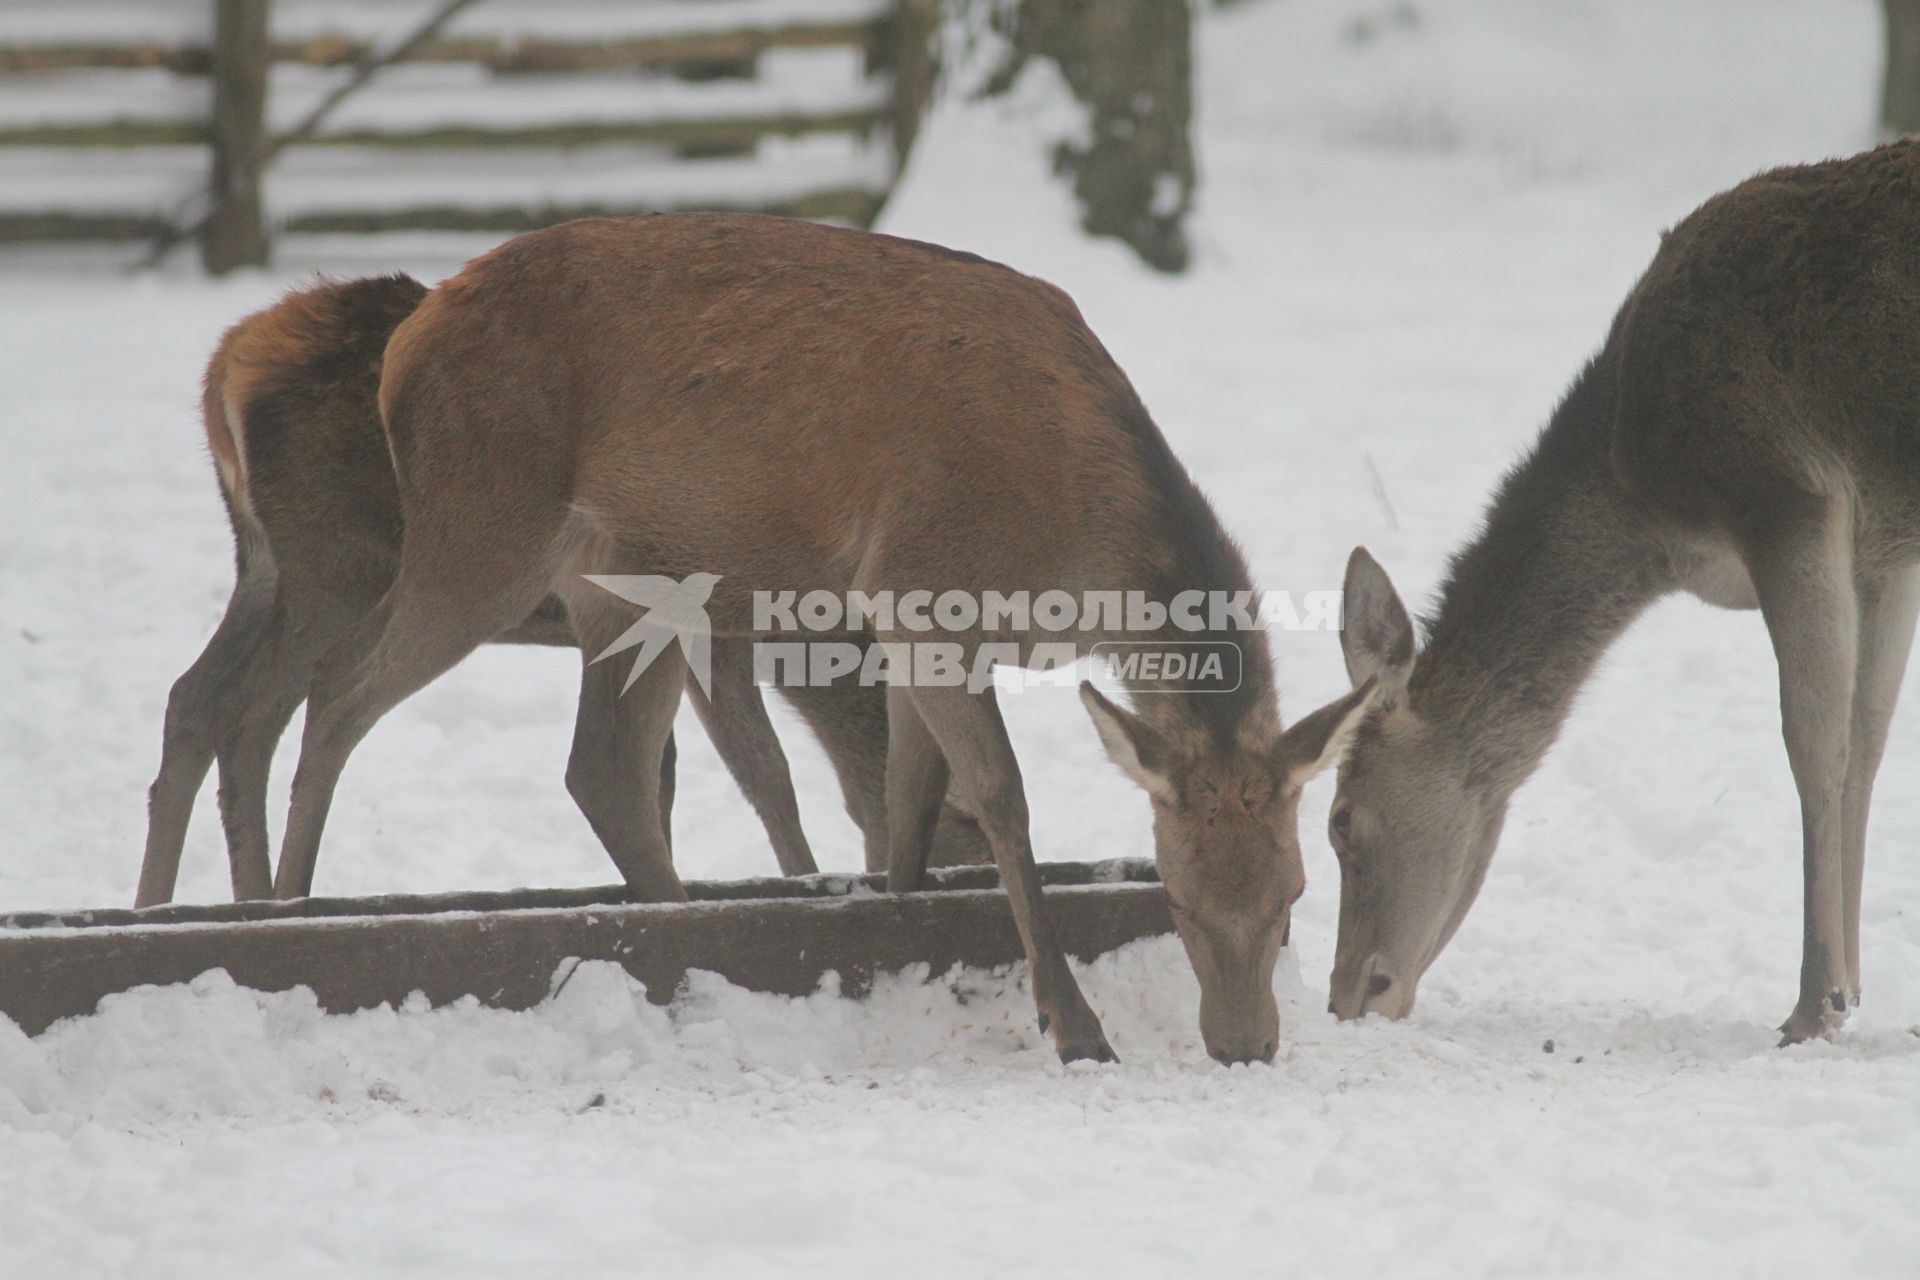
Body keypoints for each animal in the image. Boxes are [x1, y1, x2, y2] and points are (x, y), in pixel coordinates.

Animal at [135, 272, 990, 909]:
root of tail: (226, 366)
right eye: (970, 834)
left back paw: (162, 901)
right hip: (335, 562)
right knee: (255, 712)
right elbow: (763, 771)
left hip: (264, 565)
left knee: (195, 696)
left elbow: (680, 770)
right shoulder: (714, 629)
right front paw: (798, 876)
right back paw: (260, 898)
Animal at [274, 214, 1382, 1066]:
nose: (1244, 1044)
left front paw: (886, 935)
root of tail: (408, 342)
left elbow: (906, 806)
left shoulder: (919, 630)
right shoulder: (919, 588)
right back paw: (283, 908)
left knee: (604, 765)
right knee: (337, 685)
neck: (1075, 550)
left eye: (1294, 891)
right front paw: (1074, 1026)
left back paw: (683, 927)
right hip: (483, 522)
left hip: (626, 579)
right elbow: (1001, 799)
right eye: (1178, 899)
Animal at [1328, 140, 1920, 1043]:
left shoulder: (1786, 493)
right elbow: (1870, 743)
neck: (1644, 515)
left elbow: (1815, 746)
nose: (1349, 995)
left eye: (1339, 820)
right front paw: (1851, 990)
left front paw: (1812, 1006)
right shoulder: (1884, 549)